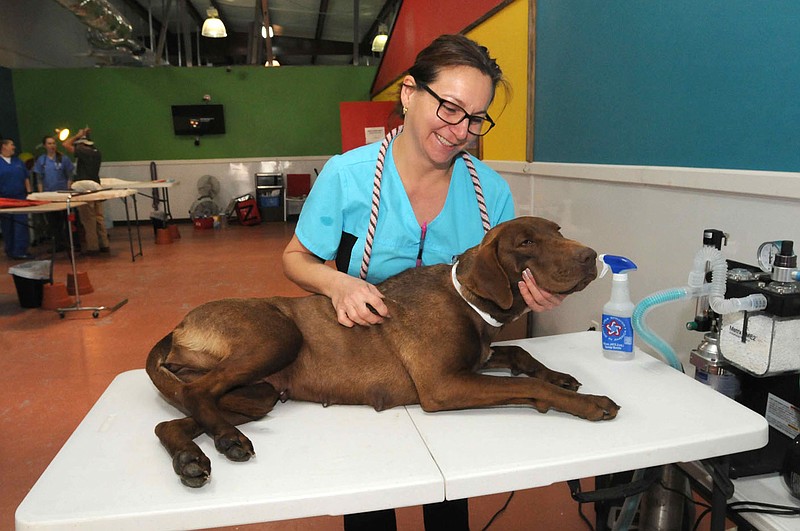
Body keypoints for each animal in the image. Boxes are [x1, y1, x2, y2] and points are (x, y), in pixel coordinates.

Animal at [147, 215, 620, 486]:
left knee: (174, 419)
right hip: (278, 337)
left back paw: (191, 457)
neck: (465, 299)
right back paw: (227, 439)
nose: (591, 256)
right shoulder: (444, 385)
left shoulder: (480, 359)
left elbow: (521, 353)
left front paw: (558, 374)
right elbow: (538, 390)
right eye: (525, 244)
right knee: (197, 394)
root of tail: (177, 327)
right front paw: (589, 401)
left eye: (558, 232)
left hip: (261, 392)